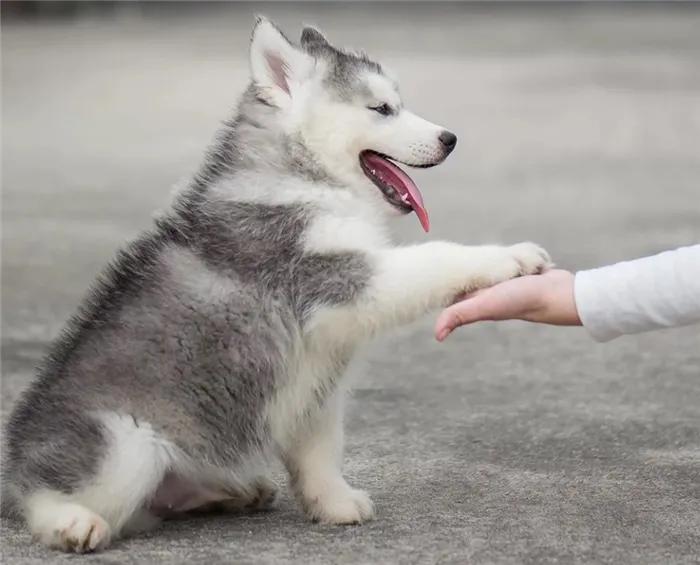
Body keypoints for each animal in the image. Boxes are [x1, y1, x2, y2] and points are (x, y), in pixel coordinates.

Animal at [1, 16, 552, 552]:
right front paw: (509, 256)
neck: (304, 176)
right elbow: (435, 257)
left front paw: (333, 502)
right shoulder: (335, 277)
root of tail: (15, 462)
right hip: (125, 446)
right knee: (46, 497)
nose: (449, 138)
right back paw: (71, 522)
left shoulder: (319, 379)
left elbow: (321, 450)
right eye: (381, 108)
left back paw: (233, 490)